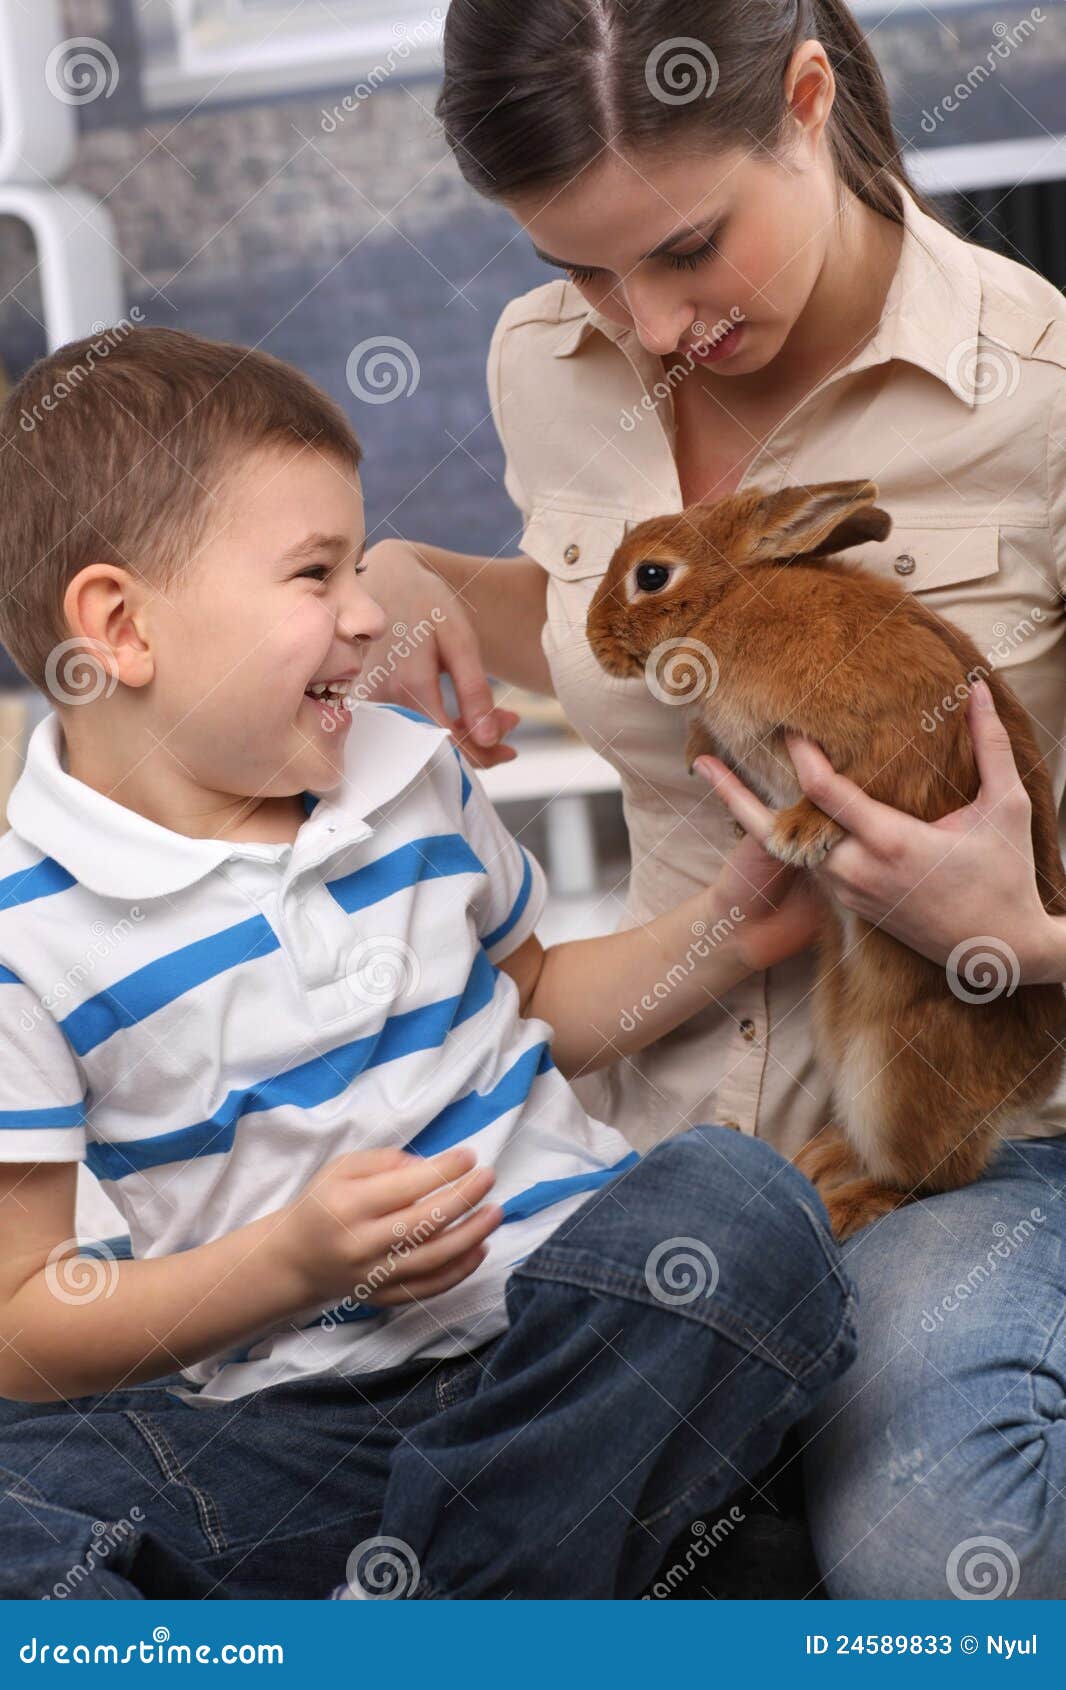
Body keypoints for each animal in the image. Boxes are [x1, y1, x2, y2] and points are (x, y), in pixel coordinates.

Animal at [586, 479, 1066, 1240]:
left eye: (651, 575)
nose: (595, 639)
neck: (733, 599)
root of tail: (1034, 1078)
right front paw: (699, 751)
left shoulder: (909, 723)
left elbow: (870, 780)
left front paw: (800, 829)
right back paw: (814, 1161)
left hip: (896, 1074)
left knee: (932, 1175)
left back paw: (841, 1207)